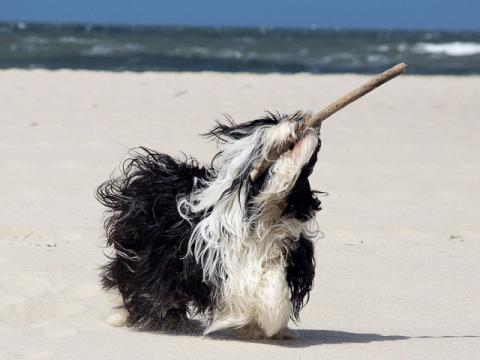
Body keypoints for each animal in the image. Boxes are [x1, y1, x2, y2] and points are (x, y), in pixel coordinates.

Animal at [96, 112, 322, 338]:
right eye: (273, 122)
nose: (300, 119)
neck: (266, 208)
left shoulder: (289, 253)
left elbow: (273, 281)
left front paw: (270, 325)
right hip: (142, 249)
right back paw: (134, 316)